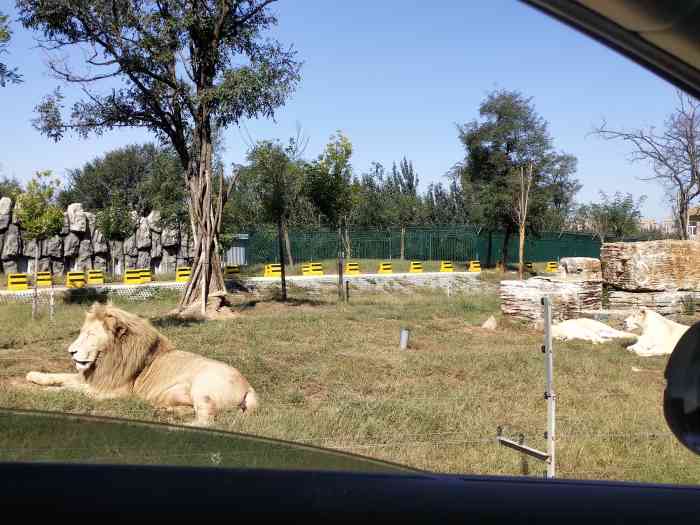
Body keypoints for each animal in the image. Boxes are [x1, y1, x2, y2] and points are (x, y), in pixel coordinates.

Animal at [26, 300, 260, 428]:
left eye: (90, 335)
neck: (105, 360)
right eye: (81, 333)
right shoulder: (95, 379)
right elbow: (61, 377)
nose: (70, 351)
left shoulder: (112, 391)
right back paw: (164, 411)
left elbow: (69, 389)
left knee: (207, 420)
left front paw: (42, 394)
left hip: (204, 388)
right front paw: (33, 376)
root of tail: (249, 386)